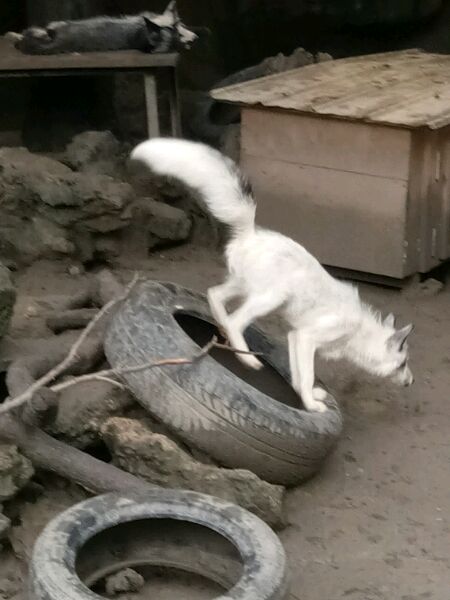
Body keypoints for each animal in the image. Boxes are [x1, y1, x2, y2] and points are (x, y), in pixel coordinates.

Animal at [130, 138, 414, 413]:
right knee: (236, 320)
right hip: (272, 297)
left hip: (244, 288)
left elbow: (299, 379)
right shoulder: (307, 337)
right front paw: (312, 405)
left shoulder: (295, 336)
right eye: (402, 364)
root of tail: (251, 233)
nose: (411, 381)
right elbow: (307, 376)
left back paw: (225, 331)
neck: (358, 331)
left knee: (215, 296)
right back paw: (246, 357)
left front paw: (308, 397)